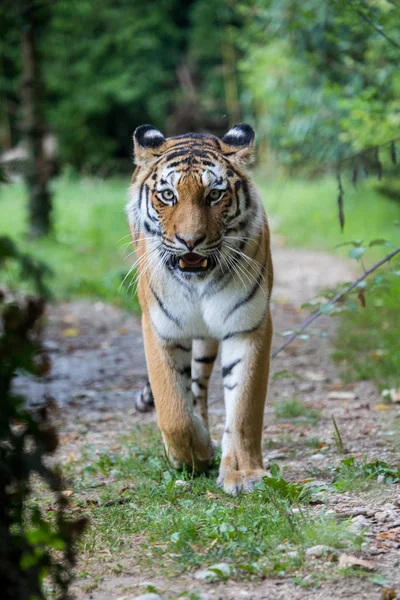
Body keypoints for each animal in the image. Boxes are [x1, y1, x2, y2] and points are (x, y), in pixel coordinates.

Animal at [126, 120, 274, 492]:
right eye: (168, 195)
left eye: (215, 195)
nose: (190, 241)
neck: (198, 284)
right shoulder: (159, 328)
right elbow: (173, 410)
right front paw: (193, 454)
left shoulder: (249, 325)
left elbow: (244, 408)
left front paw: (243, 473)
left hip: (207, 342)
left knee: (199, 385)